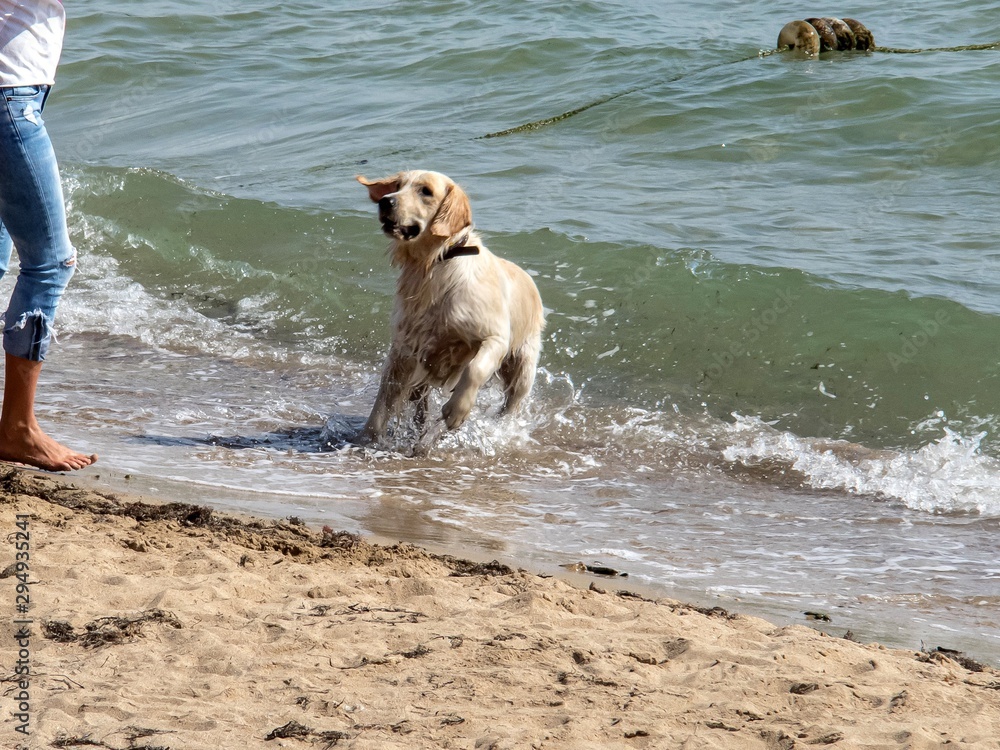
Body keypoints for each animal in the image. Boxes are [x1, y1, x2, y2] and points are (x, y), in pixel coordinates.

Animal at [358, 170, 548, 446]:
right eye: (398, 185)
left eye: (425, 191)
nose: (385, 201)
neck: (435, 263)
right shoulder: (404, 349)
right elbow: (384, 398)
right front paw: (367, 438)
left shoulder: (495, 337)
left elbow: (474, 369)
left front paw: (456, 411)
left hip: (523, 364)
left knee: (513, 401)